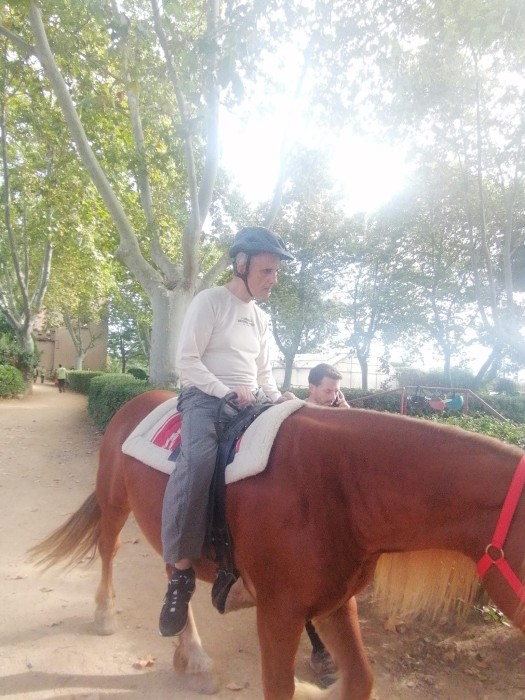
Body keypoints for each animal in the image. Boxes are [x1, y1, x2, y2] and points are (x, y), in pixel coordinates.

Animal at [28, 389, 525, 700]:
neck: (338, 485)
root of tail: (136, 403)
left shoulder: (333, 600)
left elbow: (360, 682)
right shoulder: (278, 610)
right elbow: (281, 687)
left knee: (175, 573)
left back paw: (193, 658)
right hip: (115, 502)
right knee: (108, 550)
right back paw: (106, 615)